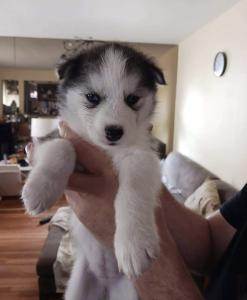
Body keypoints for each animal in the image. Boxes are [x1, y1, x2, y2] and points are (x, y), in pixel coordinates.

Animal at [22, 43, 166, 298]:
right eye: (92, 97)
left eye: (132, 99)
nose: (114, 132)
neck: (103, 149)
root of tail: (105, 282)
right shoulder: (48, 141)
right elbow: (62, 146)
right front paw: (39, 190)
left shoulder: (142, 156)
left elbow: (134, 187)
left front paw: (135, 241)